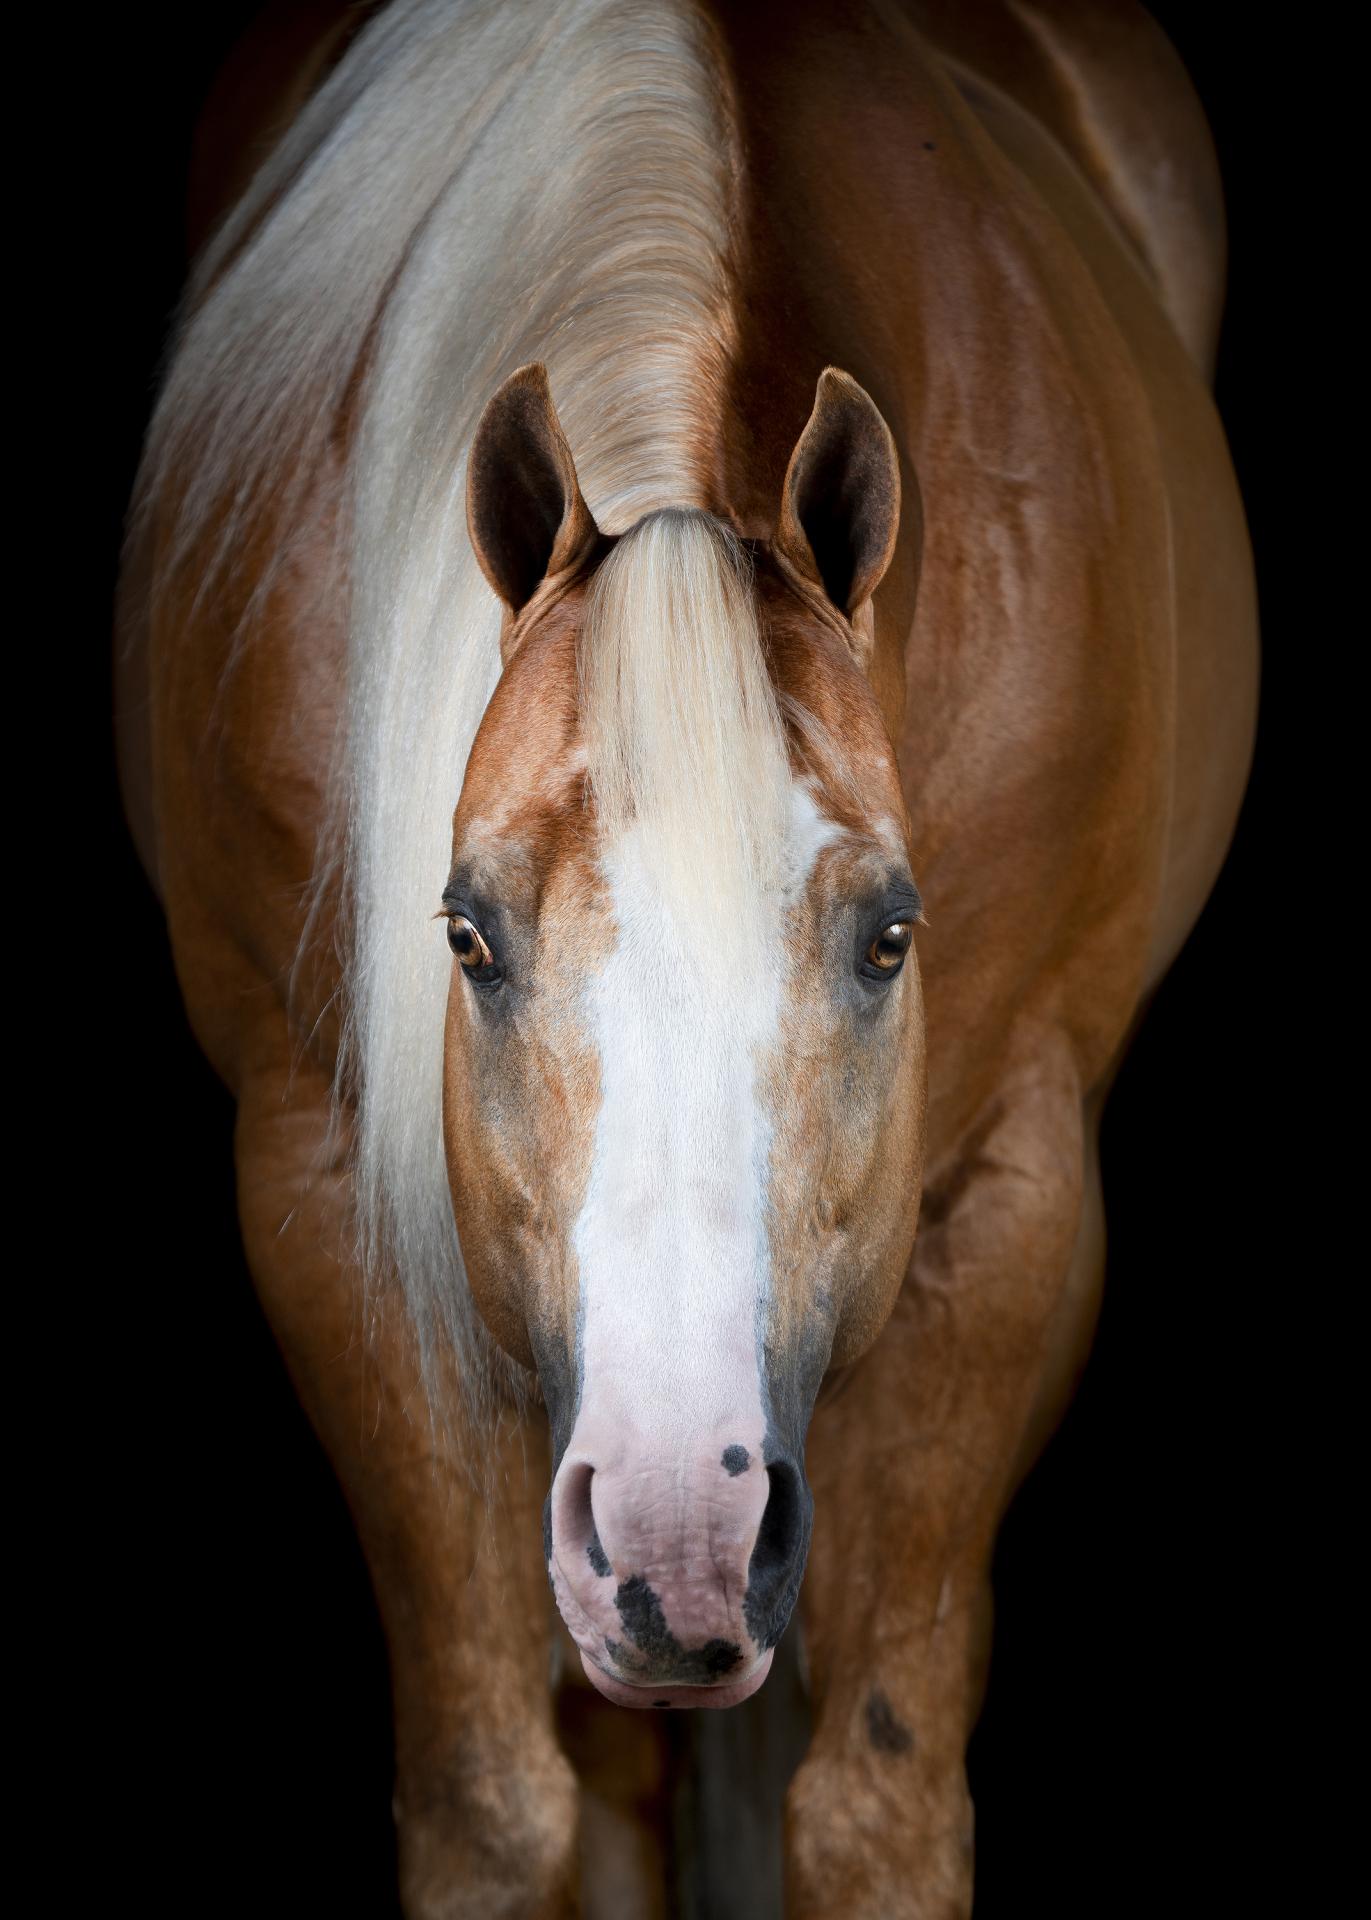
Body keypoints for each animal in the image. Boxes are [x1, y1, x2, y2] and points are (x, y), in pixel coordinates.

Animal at [114, 0, 1251, 1912]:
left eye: (890, 935)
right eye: (466, 935)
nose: (675, 1534)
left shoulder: (1010, 1213)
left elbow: (875, 1808)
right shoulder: (328, 1197)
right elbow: (493, 1803)